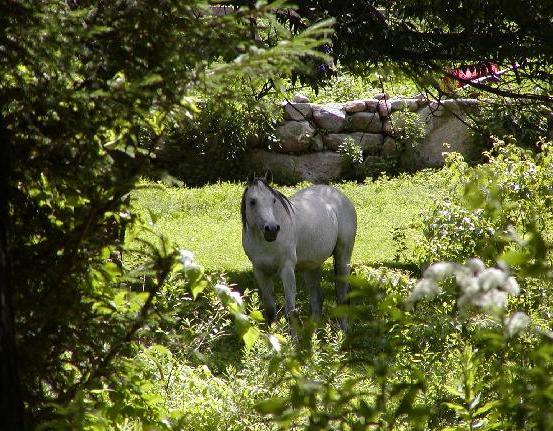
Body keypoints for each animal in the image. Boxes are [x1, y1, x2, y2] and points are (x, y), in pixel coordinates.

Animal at [239, 173, 356, 334]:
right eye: (252, 201)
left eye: (273, 200)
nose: (272, 229)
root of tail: (339, 197)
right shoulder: (260, 272)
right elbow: (270, 310)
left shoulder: (287, 270)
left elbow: (291, 311)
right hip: (312, 266)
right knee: (317, 299)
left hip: (343, 258)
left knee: (341, 294)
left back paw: (344, 331)